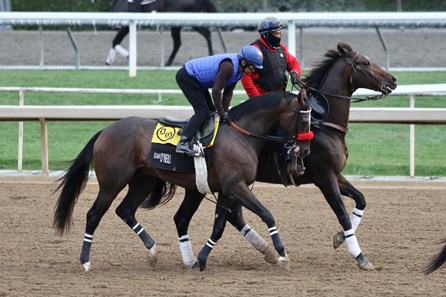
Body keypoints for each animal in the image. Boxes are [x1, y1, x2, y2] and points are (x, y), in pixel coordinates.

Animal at [53, 90, 310, 270]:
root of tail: (105, 131)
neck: (240, 135)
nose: (305, 151)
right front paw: (282, 254)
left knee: (125, 210)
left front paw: (202, 259)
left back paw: (153, 251)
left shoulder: (228, 190)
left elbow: (219, 226)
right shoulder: (236, 187)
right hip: (111, 183)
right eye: (305, 120)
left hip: (143, 181)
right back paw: (85, 261)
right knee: (94, 215)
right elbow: (267, 214)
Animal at [152, 42, 398, 270]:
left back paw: (265, 252)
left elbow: (361, 199)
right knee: (200, 217)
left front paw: (339, 238)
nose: (393, 80)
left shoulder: (335, 175)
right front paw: (360, 256)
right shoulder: (324, 177)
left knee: (220, 216)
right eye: (366, 62)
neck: (323, 123)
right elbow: (343, 214)